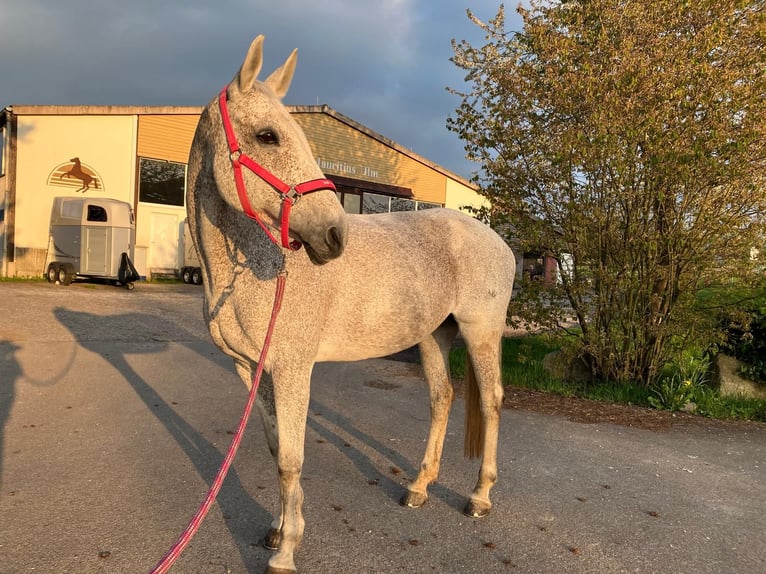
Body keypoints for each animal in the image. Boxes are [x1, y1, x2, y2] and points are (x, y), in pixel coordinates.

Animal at [186, 35, 515, 574]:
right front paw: (278, 530)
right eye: (268, 136)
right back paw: (418, 488)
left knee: (490, 401)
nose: (334, 234)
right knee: (442, 398)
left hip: (480, 332)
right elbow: (276, 446)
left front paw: (287, 552)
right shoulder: (253, 369)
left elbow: (291, 459)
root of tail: (498, 241)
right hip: (434, 335)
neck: (255, 263)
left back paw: (479, 497)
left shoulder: (292, 368)